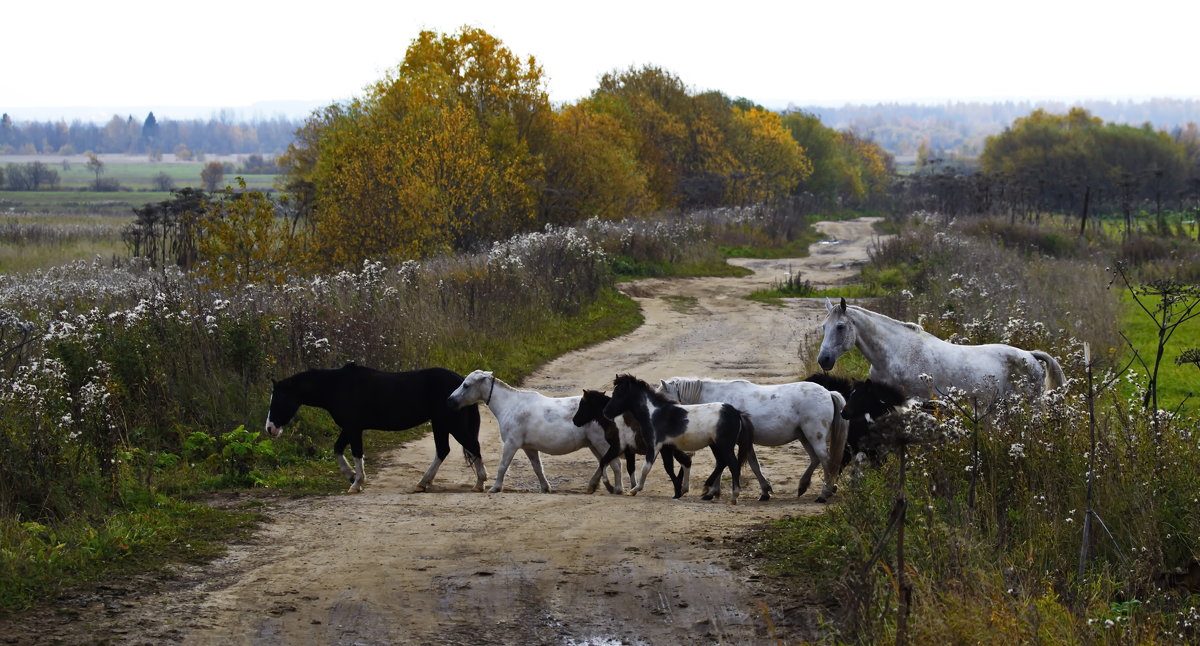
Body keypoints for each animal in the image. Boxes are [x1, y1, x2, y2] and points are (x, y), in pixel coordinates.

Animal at [265, 362, 484, 492]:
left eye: (279, 399)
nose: (270, 428)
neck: (337, 386)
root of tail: (461, 382)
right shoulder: (349, 428)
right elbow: (337, 449)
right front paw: (351, 476)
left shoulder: (353, 428)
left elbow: (356, 453)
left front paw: (357, 482)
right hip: (440, 424)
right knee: (443, 450)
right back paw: (423, 483)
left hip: (450, 424)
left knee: (472, 446)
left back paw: (480, 482)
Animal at [446, 369, 624, 489]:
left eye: (466, 385)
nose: (450, 401)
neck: (510, 405)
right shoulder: (529, 447)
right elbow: (538, 468)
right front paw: (546, 488)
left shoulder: (511, 443)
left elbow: (503, 465)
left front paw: (495, 488)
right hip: (593, 444)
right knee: (603, 463)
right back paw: (593, 486)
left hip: (601, 443)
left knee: (615, 464)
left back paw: (618, 489)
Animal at [604, 372, 753, 501]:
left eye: (619, 393)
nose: (606, 412)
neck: (654, 414)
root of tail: (735, 412)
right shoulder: (666, 447)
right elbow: (669, 468)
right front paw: (678, 492)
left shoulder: (654, 445)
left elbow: (646, 468)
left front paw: (634, 490)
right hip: (715, 445)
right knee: (722, 462)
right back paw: (706, 487)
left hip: (724, 445)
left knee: (732, 464)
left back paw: (734, 496)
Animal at [657, 374, 854, 499]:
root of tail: (828, 393)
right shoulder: (744, 443)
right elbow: (753, 465)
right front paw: (765, 491)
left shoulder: (725, 443)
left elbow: (724, 463)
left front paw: (712, 492)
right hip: (804, 436)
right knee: (815, 459)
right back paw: (804, 486)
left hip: (814, 435)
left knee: (825, 460)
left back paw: (825, 492)